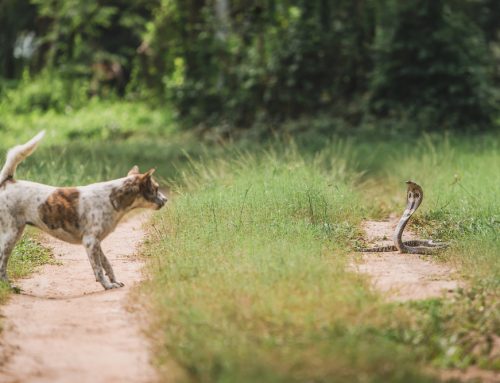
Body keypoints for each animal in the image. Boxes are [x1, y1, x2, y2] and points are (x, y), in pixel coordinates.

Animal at [0, 132, 168, 292]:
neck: (112, 197)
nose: (166, 200)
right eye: (156, 188)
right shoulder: (90, 242)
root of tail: (8, 182)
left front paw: (114, 281)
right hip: (10, 236)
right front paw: (107, 286)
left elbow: (107, 265)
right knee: (2, 265)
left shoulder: (97, 243)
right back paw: (9, 287)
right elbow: (98, 269)